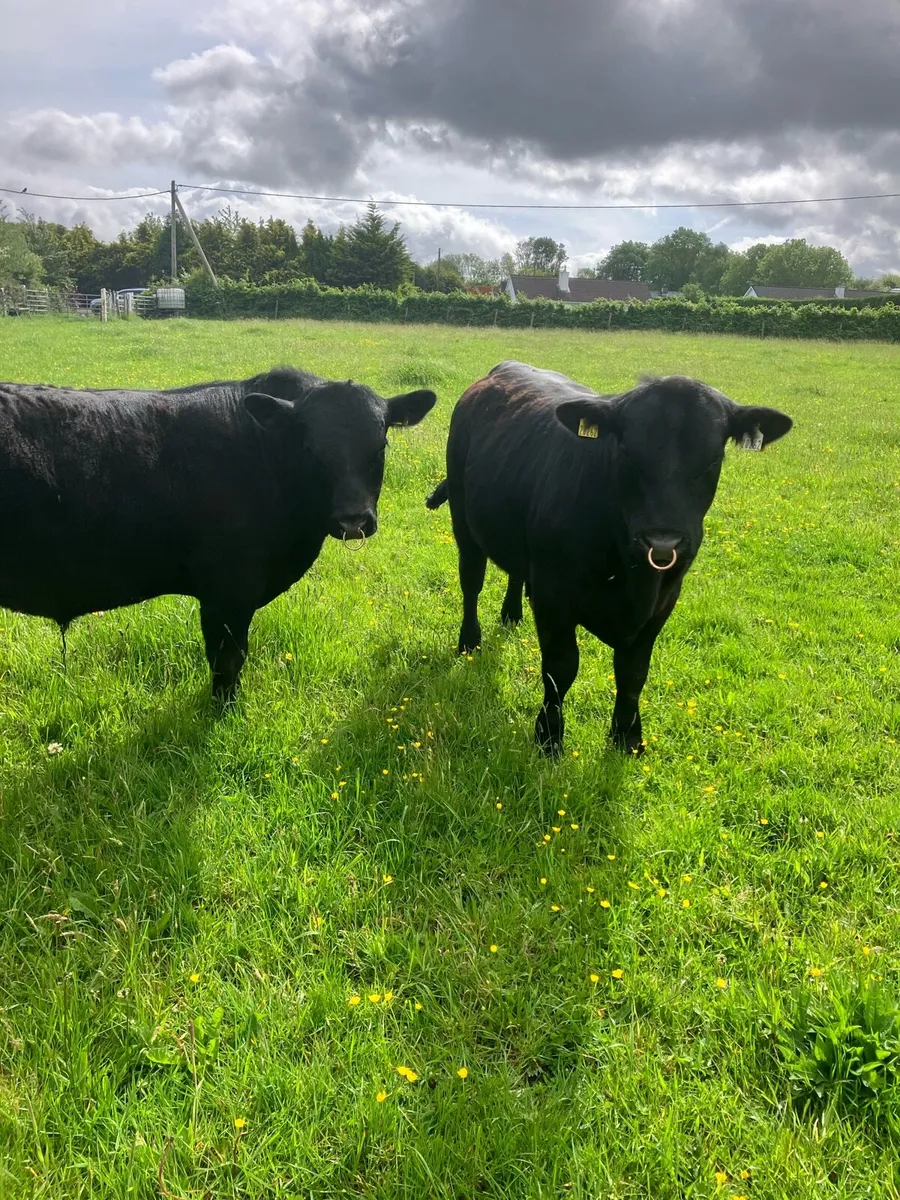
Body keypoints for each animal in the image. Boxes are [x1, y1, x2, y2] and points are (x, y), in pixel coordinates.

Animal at [0, 366, 436, 699]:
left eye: (379, 446)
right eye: (310, 448)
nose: (353, 519)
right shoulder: (228, 590)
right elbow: (227, 660)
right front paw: (224, 711)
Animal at [426, 361, 792, 756]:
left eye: (713, 459)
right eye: (628, 451)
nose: (662, 538)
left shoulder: (663, 602)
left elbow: (633, 672)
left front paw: (628, 737)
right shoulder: (554, 596)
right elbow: (561, 668)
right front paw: (549, 738)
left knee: (515, 571)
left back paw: (511, 614)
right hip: (464, 520)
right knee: (471, 583)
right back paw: (469, 641)